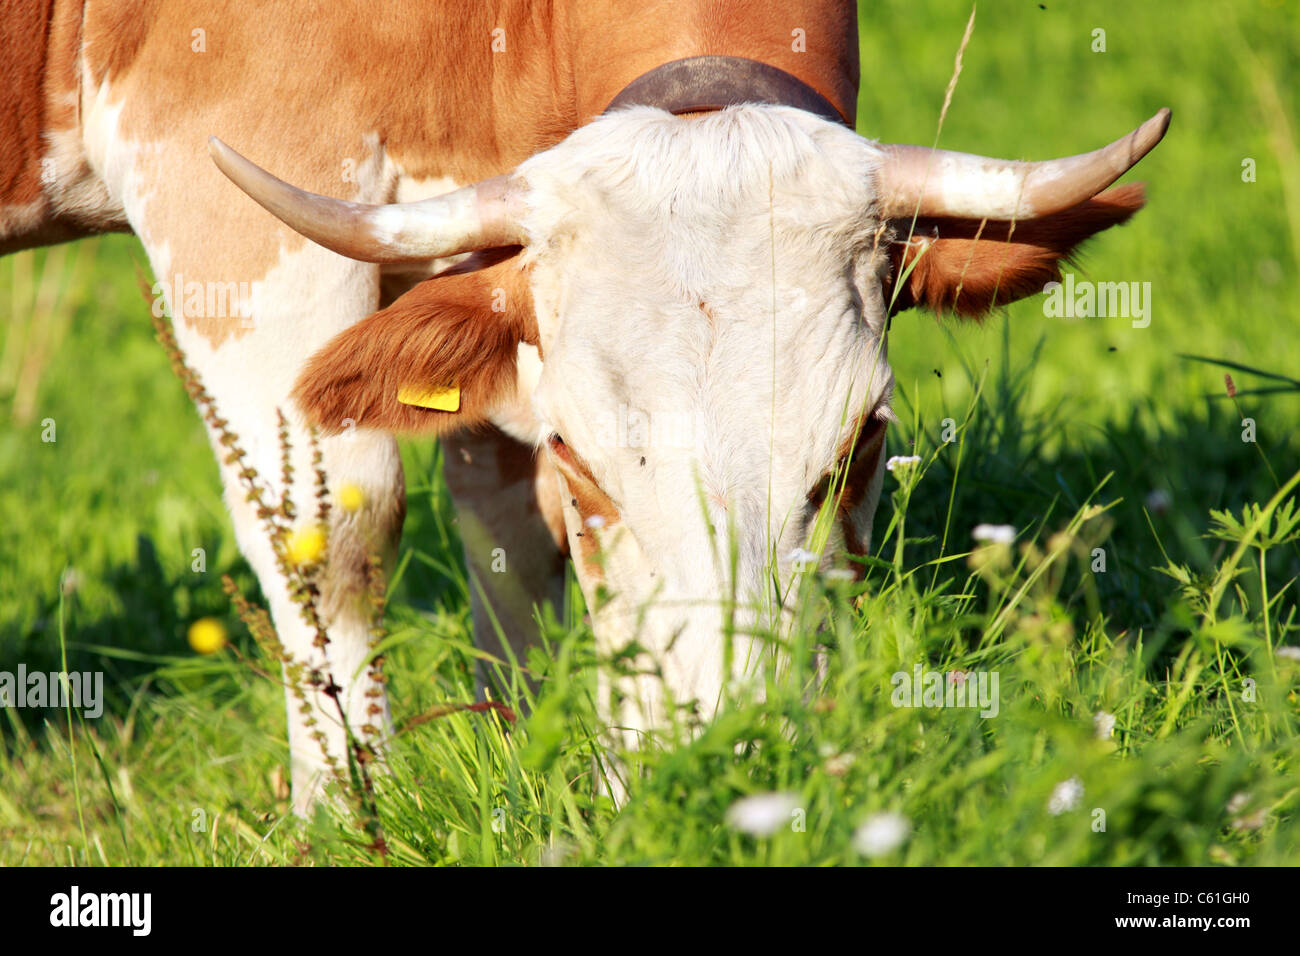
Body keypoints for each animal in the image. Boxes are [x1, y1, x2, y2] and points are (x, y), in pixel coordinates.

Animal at [2, 0, 1168, 811]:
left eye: (863, 440)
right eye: (578, 453)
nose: (734, 759)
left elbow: (504, 533)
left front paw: (520, 752)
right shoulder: (235, 188)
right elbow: (332, 534)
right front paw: (346, 815)